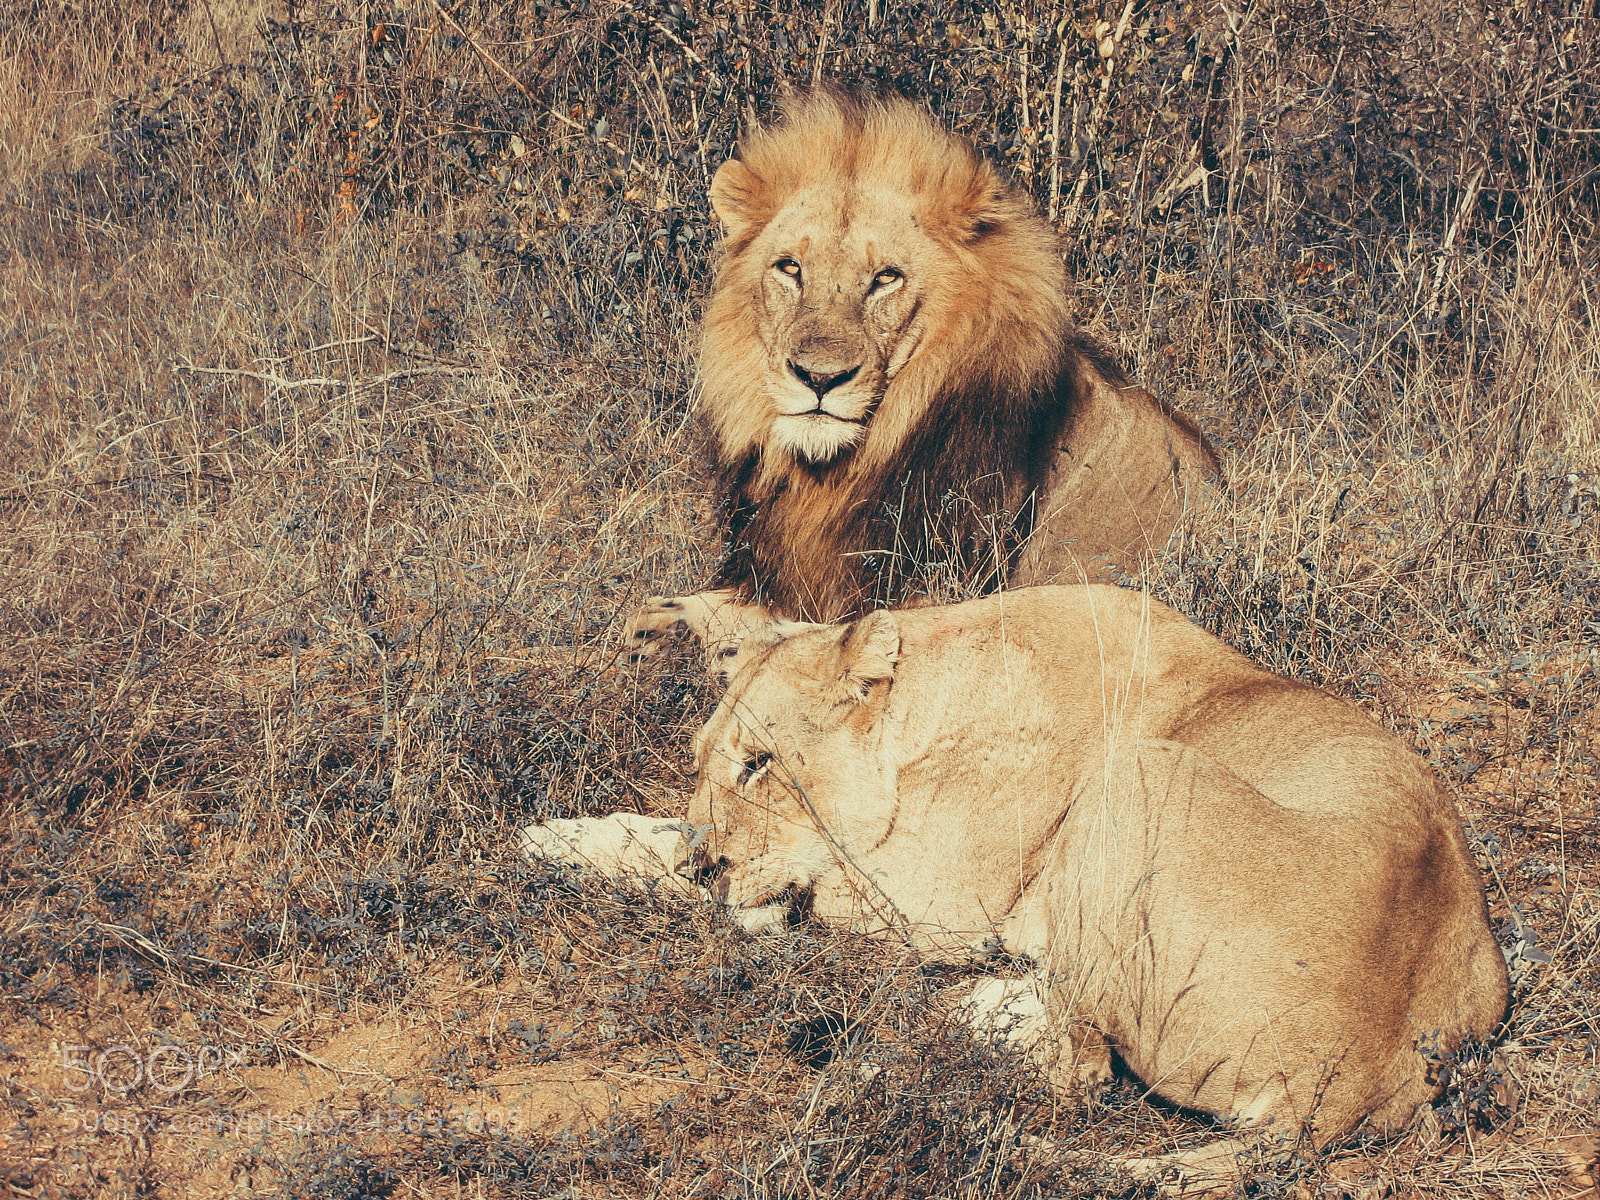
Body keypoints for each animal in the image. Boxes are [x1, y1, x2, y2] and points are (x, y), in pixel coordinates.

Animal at [533, 586, 1507, 1178]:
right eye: (705, 760)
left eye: (761, 764)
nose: (713, 862)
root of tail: (1363, 1080)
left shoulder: (928, 905)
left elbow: (725, 882)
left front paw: (571, 842)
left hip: (1135, 775)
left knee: (1078, 1067)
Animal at [624, 89, 1219, 676]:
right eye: (790, 268)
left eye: (886, 278)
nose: (819, 377)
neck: (839, 471)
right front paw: (656, 626)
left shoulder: (944, 589)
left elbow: (828, 632)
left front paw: (724, 643)